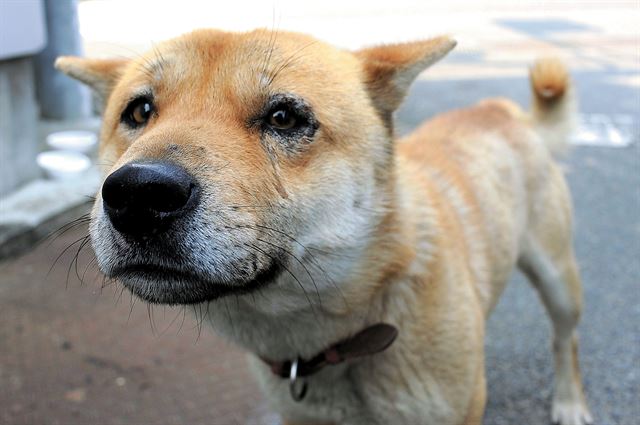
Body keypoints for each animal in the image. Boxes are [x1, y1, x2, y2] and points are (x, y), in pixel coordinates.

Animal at [57, 29, 592, 424]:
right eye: (139, 111)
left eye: (284, 117)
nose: (139, 194)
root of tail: (498, 109)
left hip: (559, 281)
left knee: (565, 341)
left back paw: (570, 403)